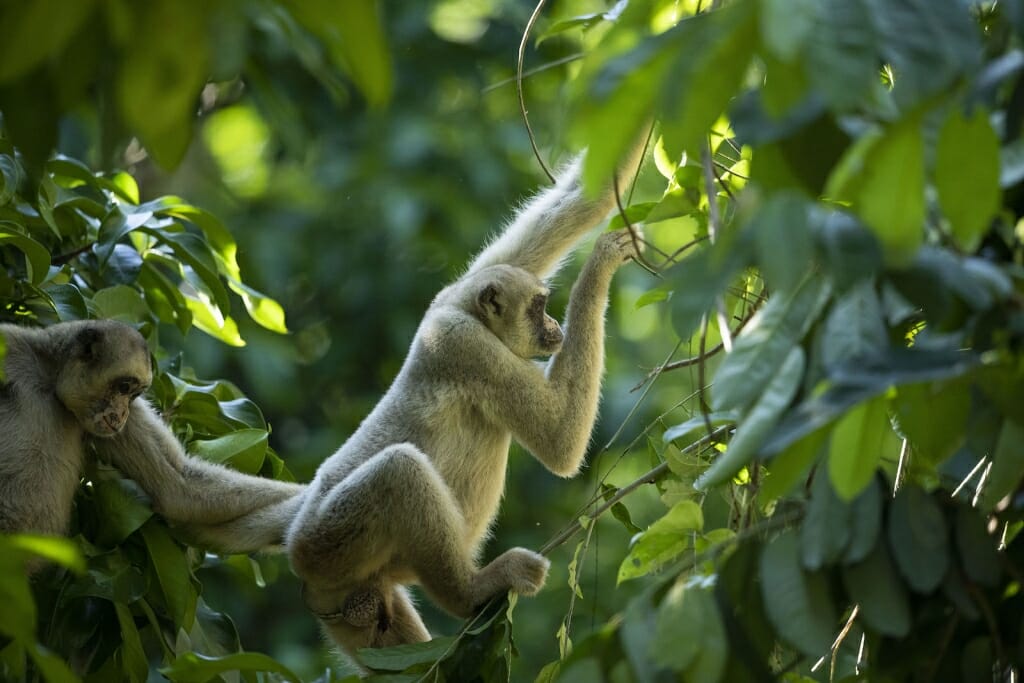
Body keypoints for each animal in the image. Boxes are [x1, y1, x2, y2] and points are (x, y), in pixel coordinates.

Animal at [0, 321, 303, 565]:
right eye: (123, 387)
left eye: (133, 396)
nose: (121, 414)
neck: (50, 384)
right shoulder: (13, 344)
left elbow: (178, 489)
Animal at [284, 137, 643, 655]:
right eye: (539, 307)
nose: (555, 326)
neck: (470, 315)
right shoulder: (462, 343)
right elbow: (559, 443)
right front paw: (602, 262)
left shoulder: (451, 294)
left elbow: (580, 198)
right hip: (326, 541)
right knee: (401, 470)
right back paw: (469, 591)